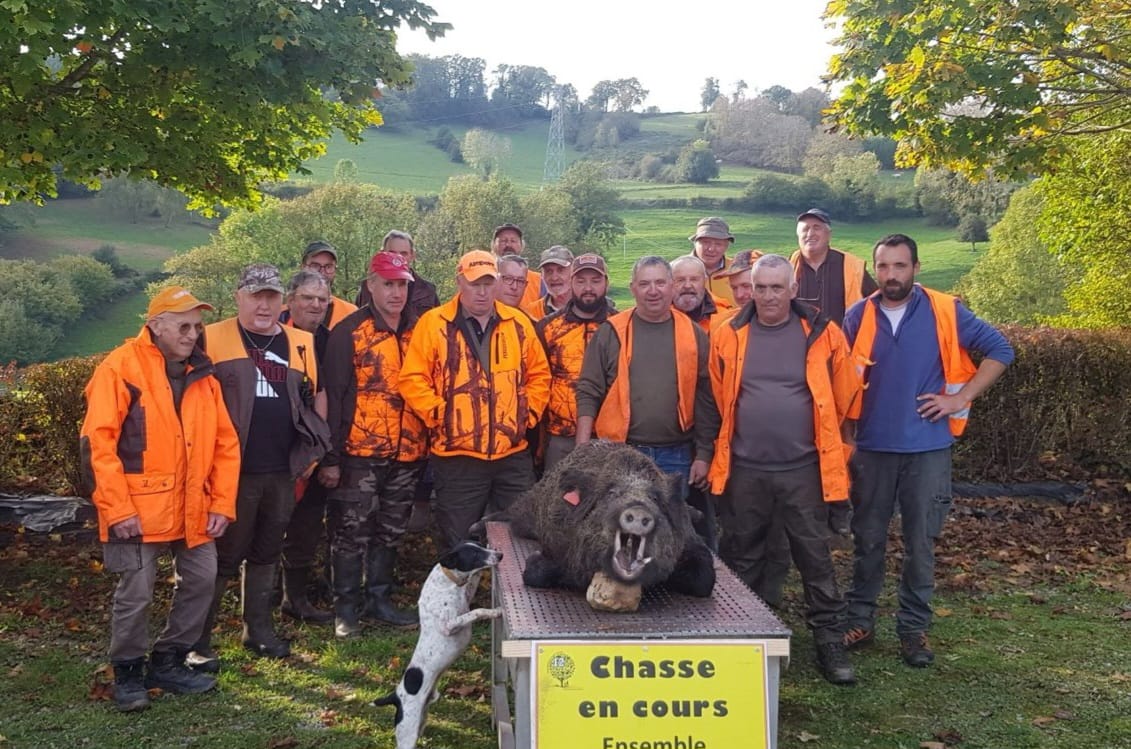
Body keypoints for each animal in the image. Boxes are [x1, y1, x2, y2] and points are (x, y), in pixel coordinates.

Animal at [375, 543, 504, 746]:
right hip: (407, 733)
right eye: (475, 554)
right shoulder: (448, 626)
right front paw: (495, 612)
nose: (500, 555)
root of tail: (395, 696)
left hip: (421, 721)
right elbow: (477, 611)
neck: (447, 581)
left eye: (480, 546)